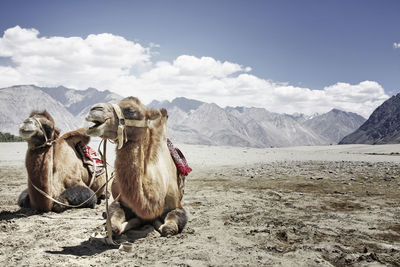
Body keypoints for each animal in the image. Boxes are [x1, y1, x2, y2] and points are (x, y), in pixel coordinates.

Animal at [85, 97, 188, 238]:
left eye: (131, 110)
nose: (94, 109)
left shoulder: (177, 206)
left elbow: (169, 228)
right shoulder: (120, 202)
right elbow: (114, 226)